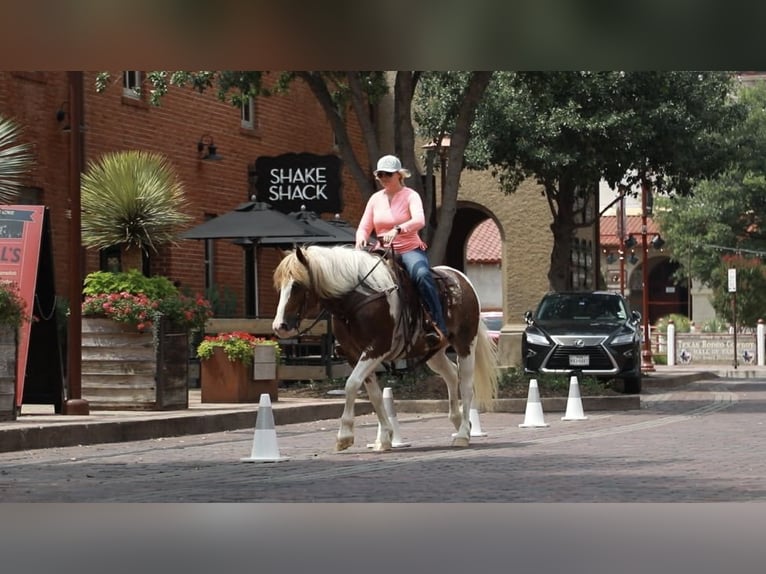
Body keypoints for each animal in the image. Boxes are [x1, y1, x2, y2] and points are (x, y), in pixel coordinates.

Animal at [272, 245, 500, 452]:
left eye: (297, 285)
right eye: (279, 286)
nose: (279, 326)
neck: (358, 299)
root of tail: (461, 279)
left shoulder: (376, 349)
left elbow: (351, 384)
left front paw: (344, 436)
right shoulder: (355, 354)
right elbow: (373, 394)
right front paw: (384, 438)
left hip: (465, 344)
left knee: (467, 385)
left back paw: (463, 434)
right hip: (433, 352)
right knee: (452, 375)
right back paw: (459, 420)